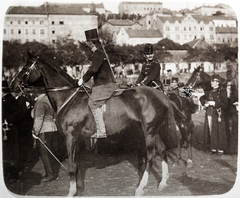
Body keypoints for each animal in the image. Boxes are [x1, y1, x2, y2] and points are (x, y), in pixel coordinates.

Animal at [10, 53, 181, 196]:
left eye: (25, 68)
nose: (11, 85)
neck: (69, 97)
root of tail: (160, 94)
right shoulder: (77, 139)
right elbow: (77, 164)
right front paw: (78, 189)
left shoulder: (70, 137)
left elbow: (72, 166)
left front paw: (71, 192)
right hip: (153, 130)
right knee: (162, 150)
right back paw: (163, 182)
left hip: (149, 131)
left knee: (151, 156)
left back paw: (140, 188)